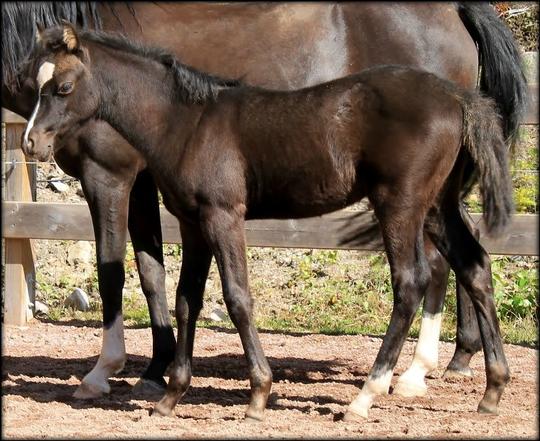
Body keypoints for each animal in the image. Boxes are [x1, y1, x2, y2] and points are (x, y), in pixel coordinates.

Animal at [3, 2, 528, 402]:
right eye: (34, 81)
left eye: (63, 88)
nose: (31, 143)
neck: (188, 120)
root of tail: (457, 98)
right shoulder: (187, 216)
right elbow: (178, 291)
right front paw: (165, 381)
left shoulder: (141, 187)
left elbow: (210, 291)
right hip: (436, 203)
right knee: (473, 263)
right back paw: (480, 384)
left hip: (400, 204)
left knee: (416, 278)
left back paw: (377, 390)